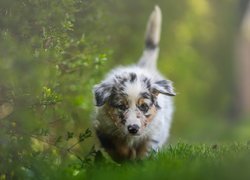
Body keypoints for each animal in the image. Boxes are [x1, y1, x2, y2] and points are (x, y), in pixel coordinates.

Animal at [92, 5, 176, 162]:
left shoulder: (153, 133)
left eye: (144, 107)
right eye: (121, 106)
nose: (133, 128)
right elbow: (118, 148)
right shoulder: (103, 128)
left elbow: (145, 151)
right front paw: (126, 157)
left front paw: (139, 162)